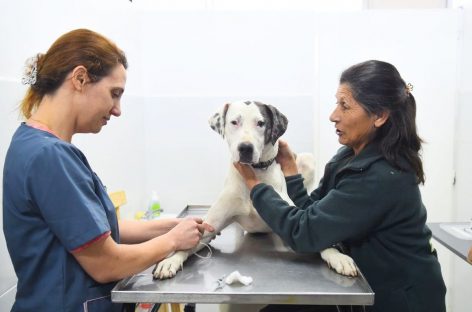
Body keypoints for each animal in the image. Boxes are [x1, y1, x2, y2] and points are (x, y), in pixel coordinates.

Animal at [155, 101, 358, 280]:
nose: (245, 147)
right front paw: (170, 260)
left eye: (261, 123)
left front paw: (338, 256)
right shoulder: (208, 227)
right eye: (234, 122)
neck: (256, 173)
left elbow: (315, 236)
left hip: (308, 159)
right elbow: (187, 242)